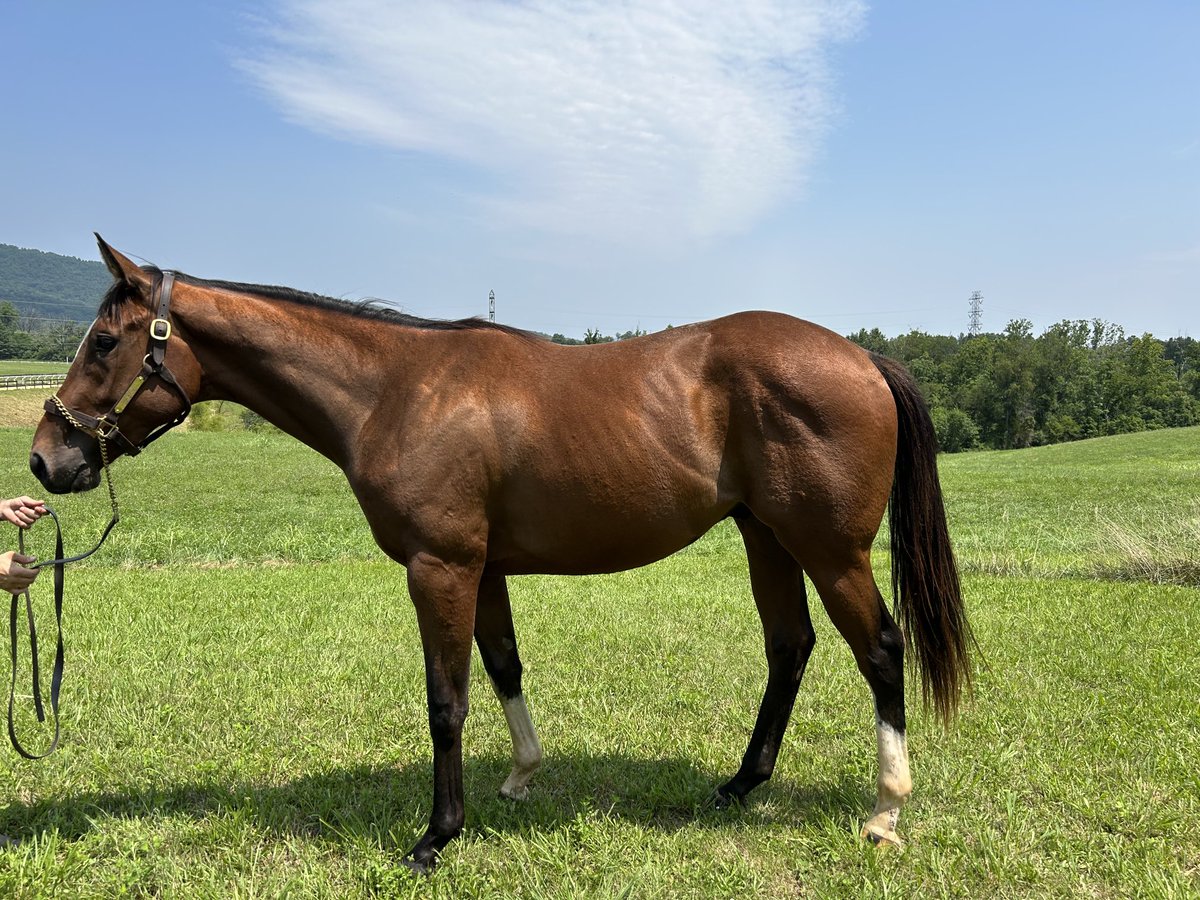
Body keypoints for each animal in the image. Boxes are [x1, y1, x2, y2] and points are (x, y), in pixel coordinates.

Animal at [28, 237, 969, 873]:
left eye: (105, 342)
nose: (45, 459)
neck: (394, 390)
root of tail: (863, 356)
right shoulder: (480, 572)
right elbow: (505, 664)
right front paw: (520, 777)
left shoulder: (438, 568)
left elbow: (447, 701)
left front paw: (436, 836)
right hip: (764, 536)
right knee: (789, 649)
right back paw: (741, 785)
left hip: (829, 548)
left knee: (880, 651)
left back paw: (885, 812)